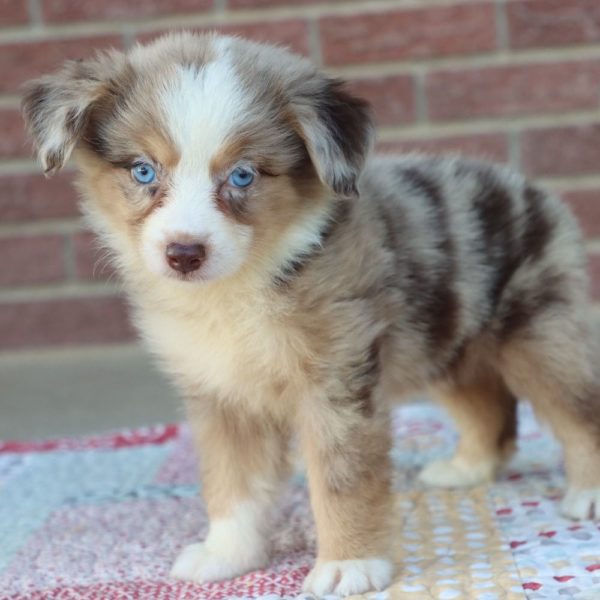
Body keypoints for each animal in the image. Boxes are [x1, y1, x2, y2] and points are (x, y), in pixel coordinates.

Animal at [22, 34, 600, 600]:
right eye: (143, 170)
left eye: (242, 175)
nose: (184, 254)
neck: (240, 287)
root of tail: (530, 187)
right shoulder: (221, 394)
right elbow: (230, 482)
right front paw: (227, 554)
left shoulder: (339, 382)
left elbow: (342, 479)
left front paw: (350, 564)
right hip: (449, 340)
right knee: (488, 407)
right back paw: (467, 469)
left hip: (541, 338)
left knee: (578, 411)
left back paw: (587, 493)